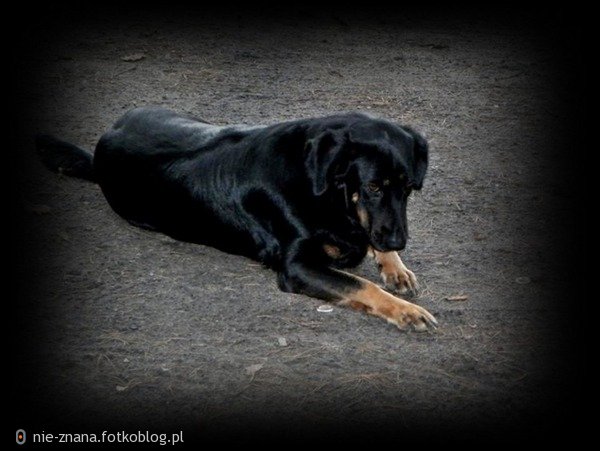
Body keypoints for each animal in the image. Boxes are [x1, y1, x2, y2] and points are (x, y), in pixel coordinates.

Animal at [37, 107, 438, 330]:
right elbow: (361, 285)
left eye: (408, 188)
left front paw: (395, 265)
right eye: (371, 186)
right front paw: (406, 311)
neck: (320, 187)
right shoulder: (298, 267)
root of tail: (102, 146)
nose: (398, 241)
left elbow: (368, 242)